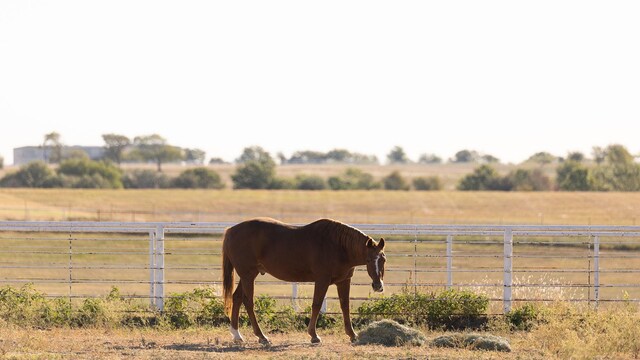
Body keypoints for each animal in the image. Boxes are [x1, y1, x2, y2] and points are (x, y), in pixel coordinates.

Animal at [222, 217, 388, 344]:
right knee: (248, 301)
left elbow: (345, 306)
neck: (338, 246)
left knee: (237, 298)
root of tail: (231, 230)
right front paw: (314, 335)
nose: (378, 286)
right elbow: (316, 304)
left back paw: (237, 335)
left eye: (383, 259)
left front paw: (352, 335)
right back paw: (262, 337)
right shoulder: (322, 280)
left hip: (248, 275)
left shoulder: (344, 281)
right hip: (248, 275)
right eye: (368, 260)